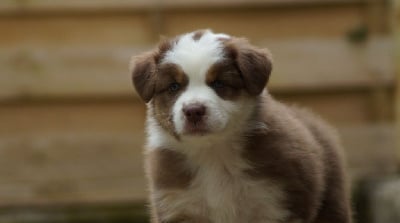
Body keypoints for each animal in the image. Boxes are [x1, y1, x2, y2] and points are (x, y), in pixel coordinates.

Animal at [130, 30, 352, 223]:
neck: (213, 154)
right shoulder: (179, 206)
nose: (193, 111)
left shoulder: (279, 205)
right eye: (174, 86)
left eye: (219, 83)